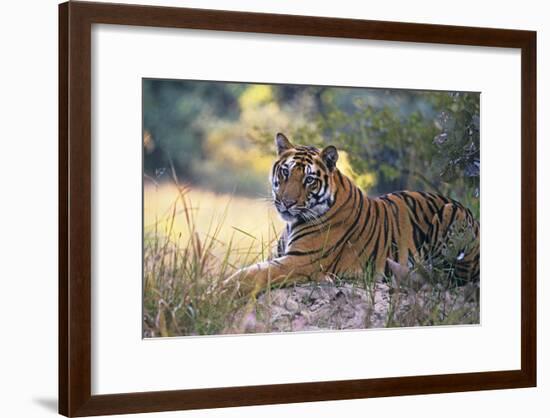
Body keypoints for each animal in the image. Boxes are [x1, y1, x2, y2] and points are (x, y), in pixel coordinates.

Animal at [226, 132, 480, 296]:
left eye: (309, 179)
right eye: (285, 172)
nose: (287, 203)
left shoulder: (300, 262)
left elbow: (250, 275)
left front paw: (221, 291)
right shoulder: (281, 256)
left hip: (451, 216)